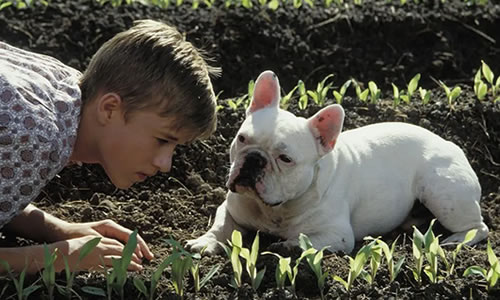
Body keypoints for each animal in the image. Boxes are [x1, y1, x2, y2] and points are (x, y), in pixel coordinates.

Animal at [187, 71, 488, 255]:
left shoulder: (337, 235)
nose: (254, 159)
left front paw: (288, 245)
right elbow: (221, 226)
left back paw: (456, 240)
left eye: (285, 159)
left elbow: (305, 240)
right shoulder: (230, 209)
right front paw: (204, 242)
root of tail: (450, 143)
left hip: (443, 193)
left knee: (479, 227)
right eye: (242, 139)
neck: (277, 208)